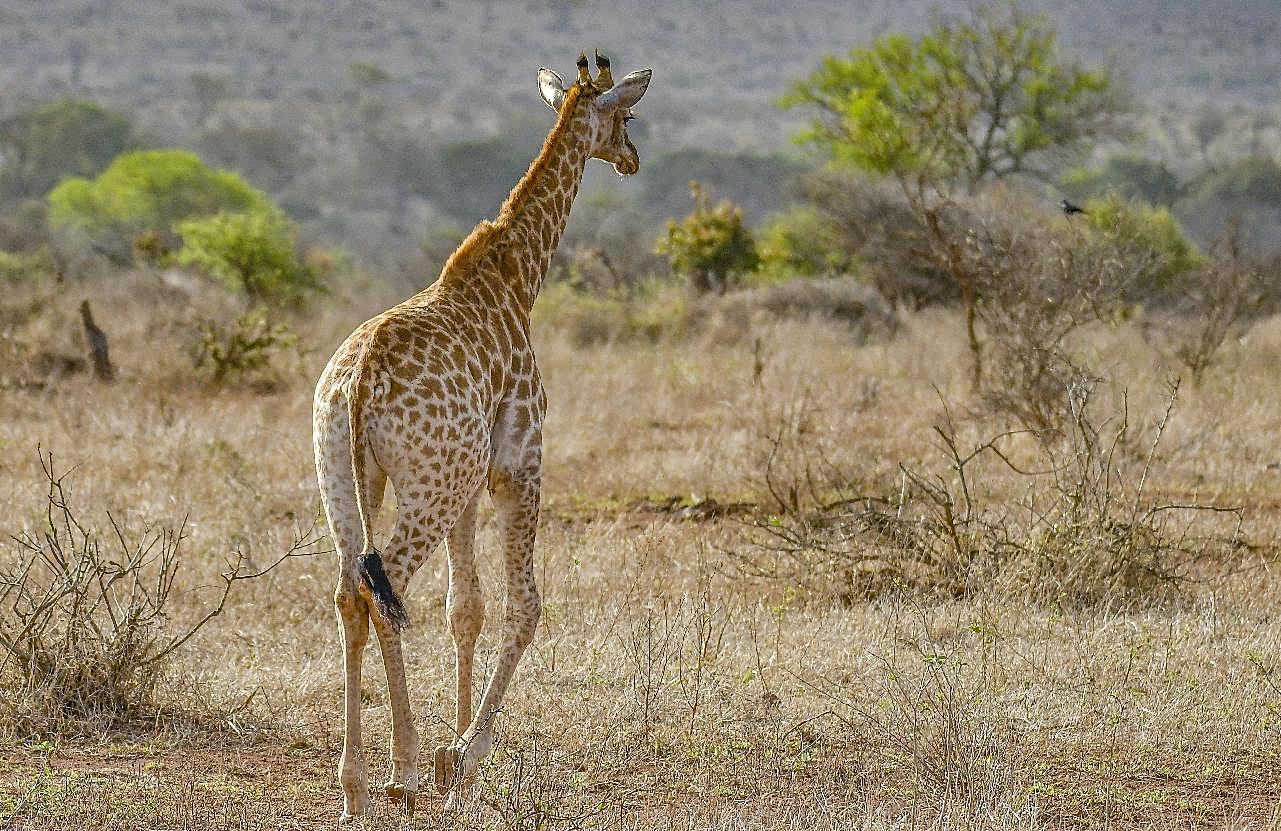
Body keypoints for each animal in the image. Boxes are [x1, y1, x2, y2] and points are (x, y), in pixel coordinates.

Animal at [310, 53, 650, 824]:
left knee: (350, 592)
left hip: (345, 477)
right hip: (426, 487)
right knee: (382, 586)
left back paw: (354, 785)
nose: (632, 159)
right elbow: (525, 607)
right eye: (626, 114)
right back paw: (400, 770)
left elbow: (464, 609)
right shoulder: (519, 460)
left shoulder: (470, 480)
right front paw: (461, 756)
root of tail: (358, 383)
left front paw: (454, 765)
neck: (519, 277)